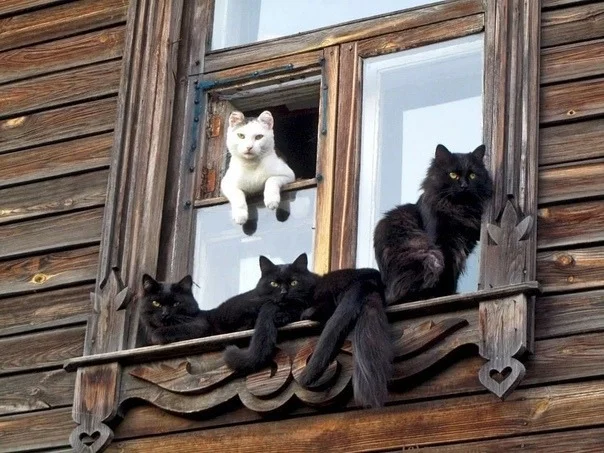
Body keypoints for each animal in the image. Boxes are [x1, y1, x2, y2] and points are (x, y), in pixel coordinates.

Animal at [374, 144, 493, 304]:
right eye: (453, 175)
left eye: (472, 175)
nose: (464, 186)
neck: (458, 209)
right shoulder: (443, 245)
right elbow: (447, 272)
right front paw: (445, 294)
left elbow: (454, 274)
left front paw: (450, 293)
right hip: (429, 257)